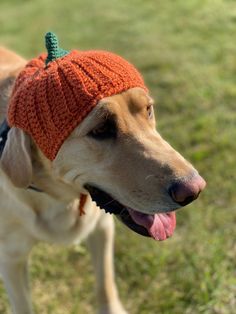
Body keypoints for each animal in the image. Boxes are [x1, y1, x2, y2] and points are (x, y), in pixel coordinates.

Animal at [0, 44, 206, 314]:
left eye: (148, 110)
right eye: (100, 130)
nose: (194, 189)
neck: (58, 197)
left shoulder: (102, 228)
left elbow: (105, 283)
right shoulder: (11, 260)